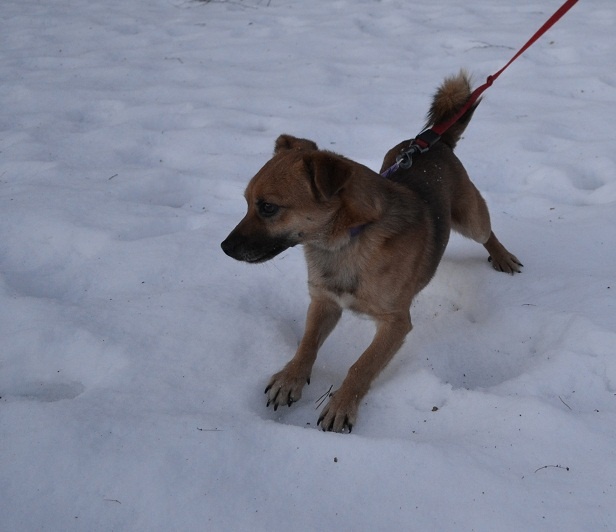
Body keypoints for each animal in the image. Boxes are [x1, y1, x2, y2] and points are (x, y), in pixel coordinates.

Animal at [221, 71, 522, 433]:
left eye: (268, 207)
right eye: (247, 203)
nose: (224, 248)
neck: (346, 241)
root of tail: (433, 141)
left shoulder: (395, 323)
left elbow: (361, 366)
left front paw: (341, 405)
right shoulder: (323, 303)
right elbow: (307, 344)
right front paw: (290, 378)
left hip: (470, 218)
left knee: (487, 232)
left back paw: (502, 256)